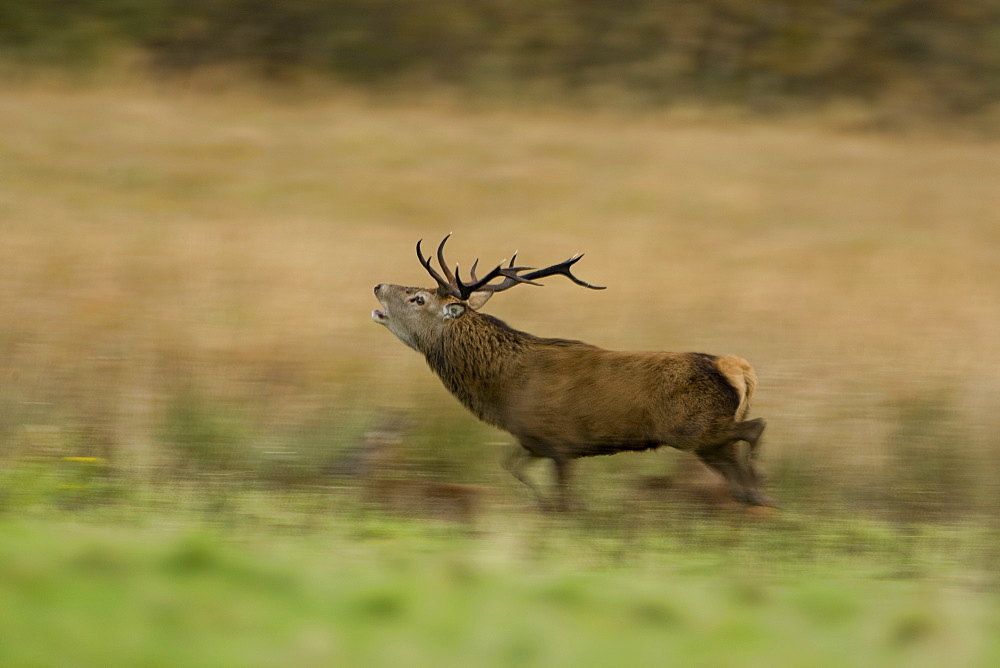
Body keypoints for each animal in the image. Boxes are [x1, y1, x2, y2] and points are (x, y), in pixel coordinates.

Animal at [372, 235, 768, 512]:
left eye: (418, 298)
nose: (378, 285)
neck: (505, 389)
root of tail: (733, 367)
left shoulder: (561, 441)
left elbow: (562, 498)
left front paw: (560, 511)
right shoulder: (534, 440)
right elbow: (511, 465)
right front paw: (543, 505)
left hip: (691, 428)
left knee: (755, 427)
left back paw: (758, 486)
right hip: (705, 441)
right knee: (734, 458)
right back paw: (752, 497)